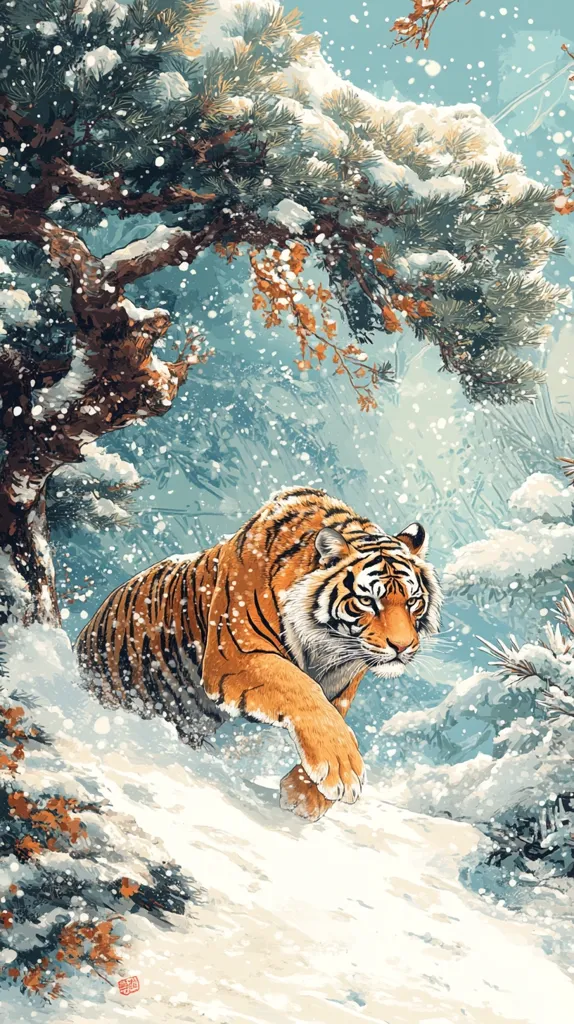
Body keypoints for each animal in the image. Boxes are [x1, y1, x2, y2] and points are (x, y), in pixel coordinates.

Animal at [76, 486, 441, 821]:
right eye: (367, 601)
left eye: (412, 601)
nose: (402, 647)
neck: (327, 645)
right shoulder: (236, 656)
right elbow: (302, 691)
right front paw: (341, 771)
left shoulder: (343, 681)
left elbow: (333, 715)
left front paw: (306, 795)